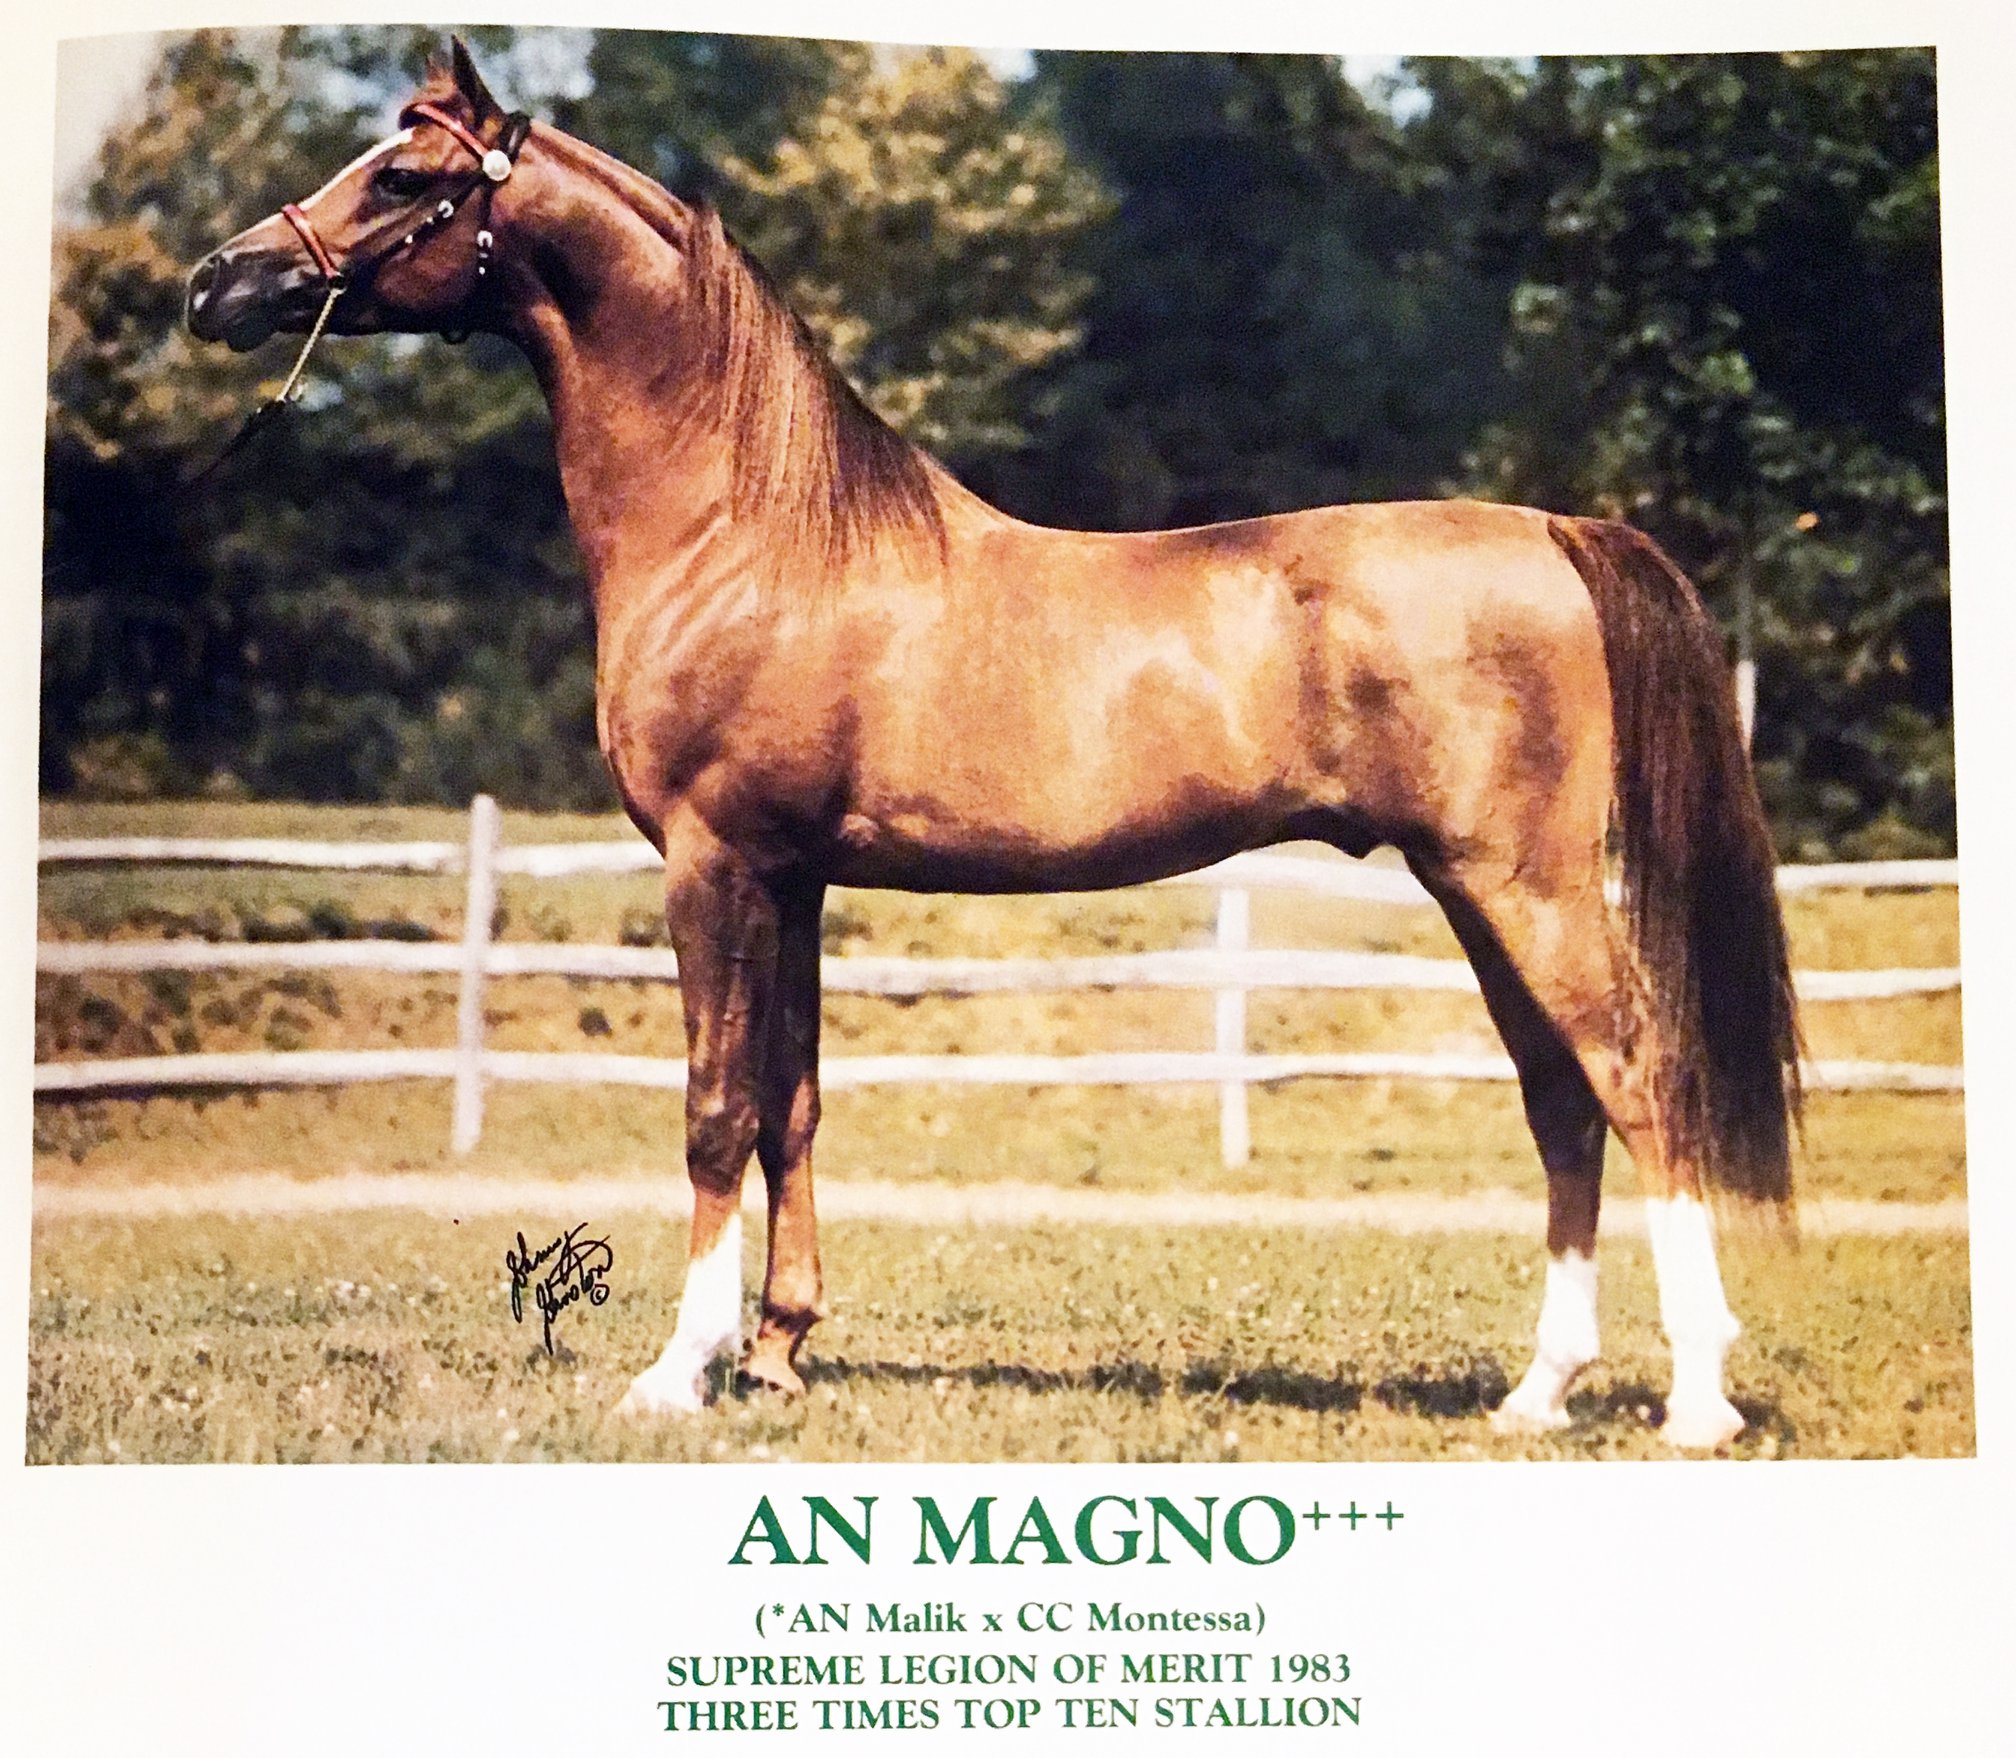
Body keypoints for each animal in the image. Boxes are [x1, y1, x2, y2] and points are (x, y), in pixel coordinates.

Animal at [186, 41, 1800, 1449]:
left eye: (402, 176)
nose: (221, 281)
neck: (747, 529)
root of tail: (1554, 529)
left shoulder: (716, 863)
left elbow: (715, 1109)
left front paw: (677, 1370)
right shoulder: (796, 879)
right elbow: (792, 1105)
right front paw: (777, 1352)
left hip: (1525, 885)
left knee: (1638, 1083)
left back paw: (1697, 1401)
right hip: (1477, 892)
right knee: (1562, 1105)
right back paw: (1539, 1393)